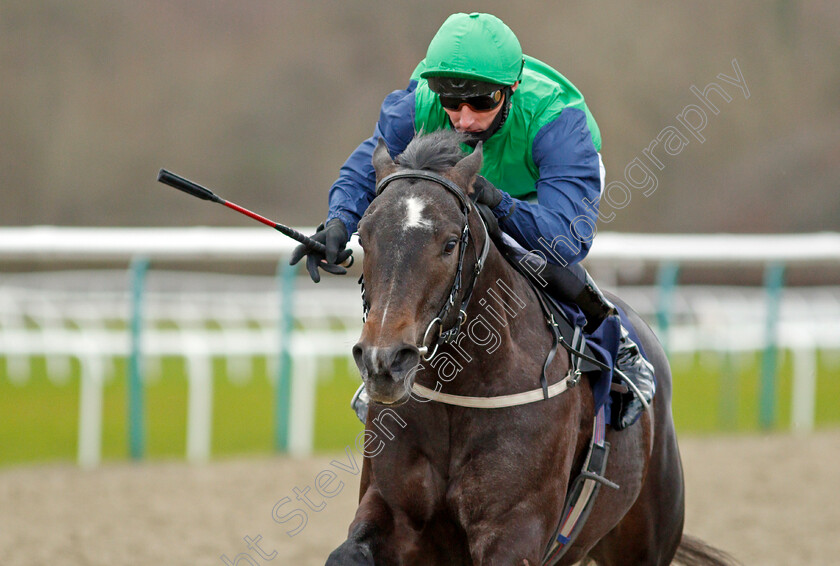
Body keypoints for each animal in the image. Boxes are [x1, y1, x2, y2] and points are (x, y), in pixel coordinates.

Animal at [328, 133, 736, 566]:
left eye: (450, 244)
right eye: (363, 237)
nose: (384, 361)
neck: (460, 391)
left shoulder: (515, 531)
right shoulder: (392, 511)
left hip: (646, 538)